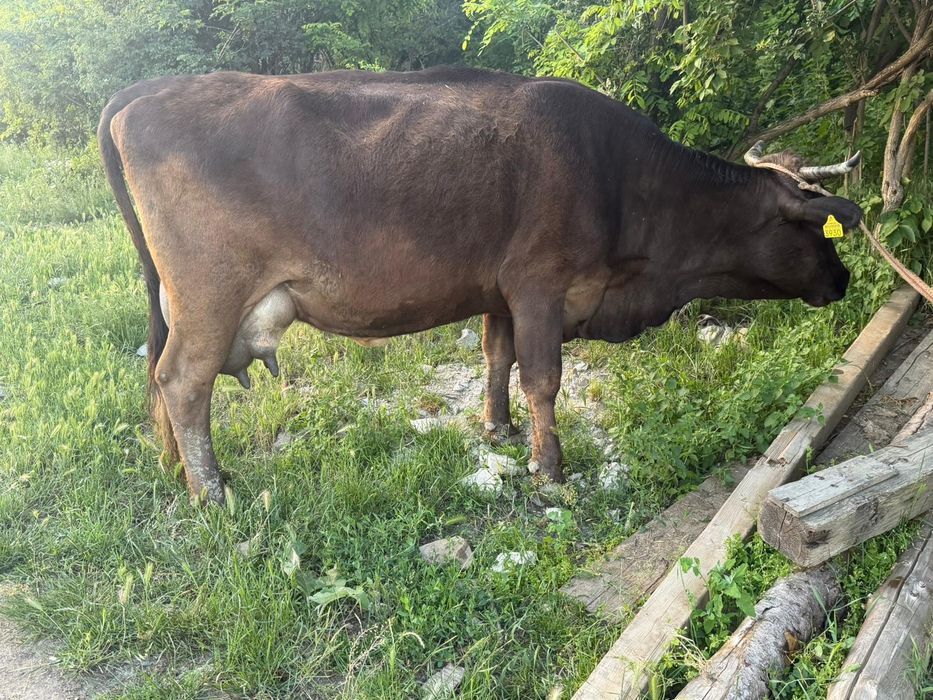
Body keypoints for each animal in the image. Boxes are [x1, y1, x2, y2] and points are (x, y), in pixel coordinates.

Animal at [98, 67, 860, 505]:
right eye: (814, 230)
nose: (846, 277)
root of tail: (144, 90)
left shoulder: (498, 290)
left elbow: (497, 357)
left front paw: (497, 427)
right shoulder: (540, 284)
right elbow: (543, 378)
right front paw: (549, 468)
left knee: (166, 381)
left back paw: (177, 468)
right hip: (210, 295)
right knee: (182, 380)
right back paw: (210, 491)